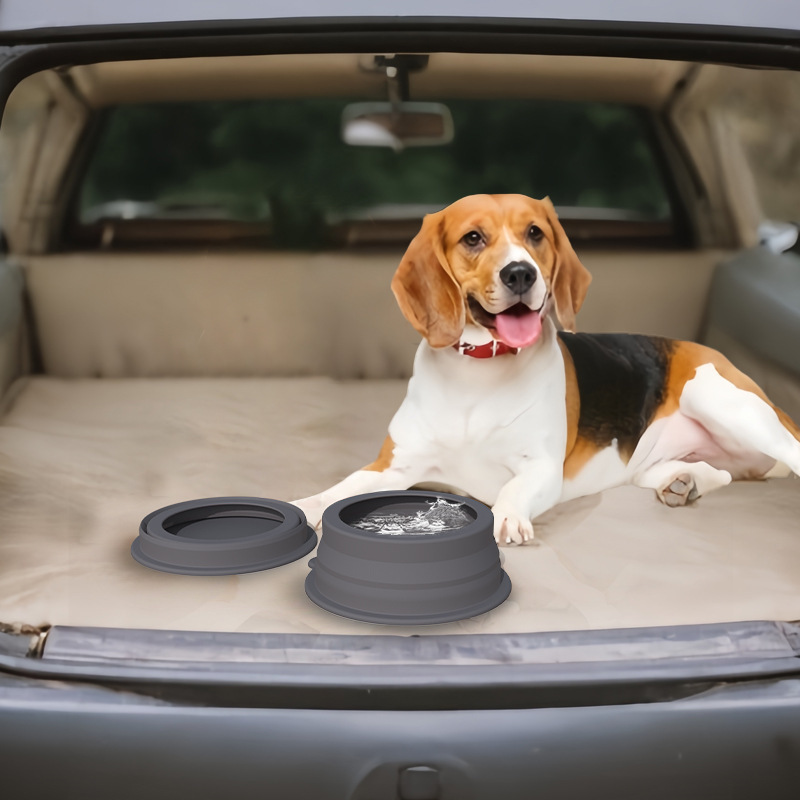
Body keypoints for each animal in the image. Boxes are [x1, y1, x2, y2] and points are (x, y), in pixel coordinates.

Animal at [296, 194, 800, 544]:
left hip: (720, 398)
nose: (520, 273)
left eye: (535, 233)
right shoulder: (392, 467)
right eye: (473, 238)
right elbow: (337, 490)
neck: (477, 376)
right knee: (722, 474)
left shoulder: (540, 468)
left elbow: (512, 492)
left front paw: (506, 518)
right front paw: (303, 504)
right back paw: (683, 482)